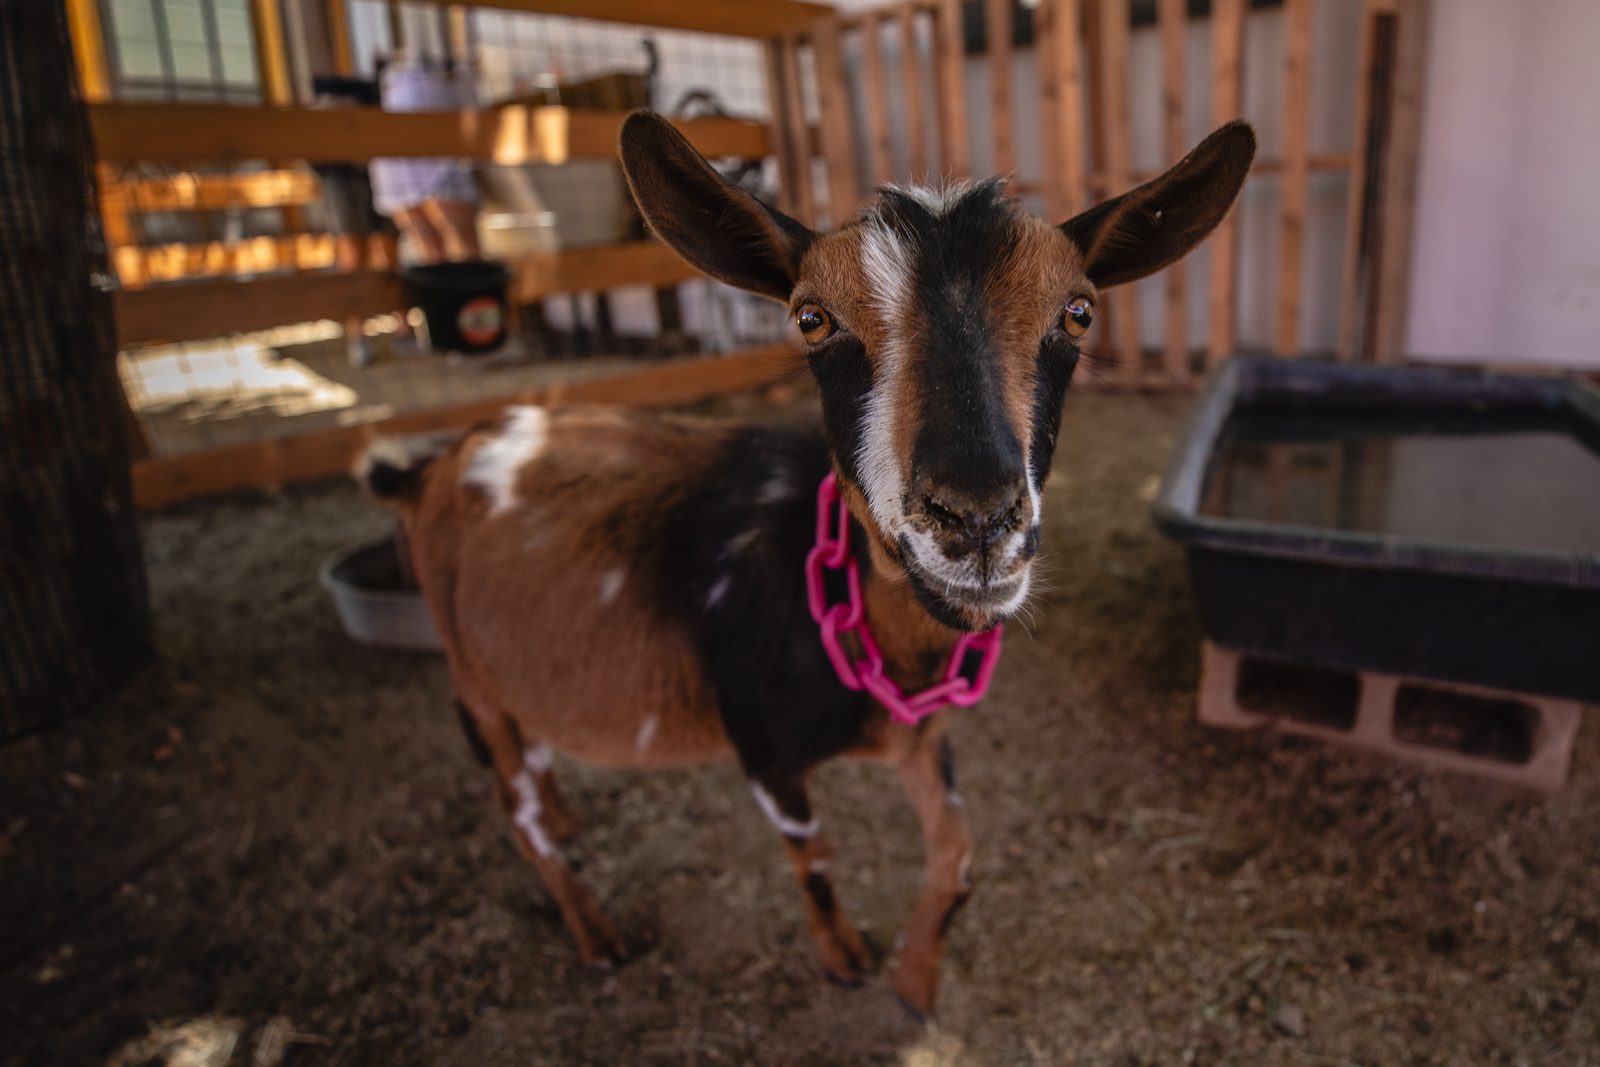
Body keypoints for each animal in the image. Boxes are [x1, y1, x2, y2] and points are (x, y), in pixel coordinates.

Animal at [363, 110, 1254, 1017]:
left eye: (1078, 312)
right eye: (810, 319)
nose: (975, 516)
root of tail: (437, 462)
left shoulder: (921, 732)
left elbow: (959, 856)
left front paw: (914, 980)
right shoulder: (763, 750)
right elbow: (816, 862)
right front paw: (846, 956)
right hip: (472, 675)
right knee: (517, 813)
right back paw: (595, 932)